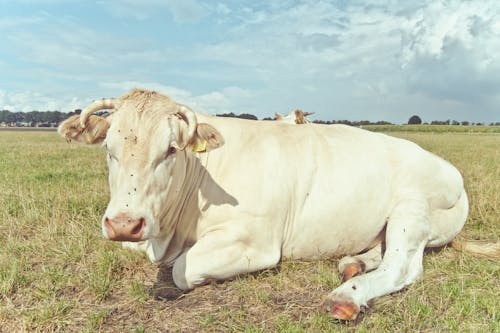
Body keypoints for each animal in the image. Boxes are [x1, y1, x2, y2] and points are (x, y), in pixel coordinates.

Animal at [58, 89, 496, 320]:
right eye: (109, 149)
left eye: (170, 149)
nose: (124, 223)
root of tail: (448, 167)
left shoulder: (254, 241)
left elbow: (182, 269)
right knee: (382, 252)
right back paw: (352, 262)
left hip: (412, 210)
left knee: (403, 266)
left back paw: (347, 295)